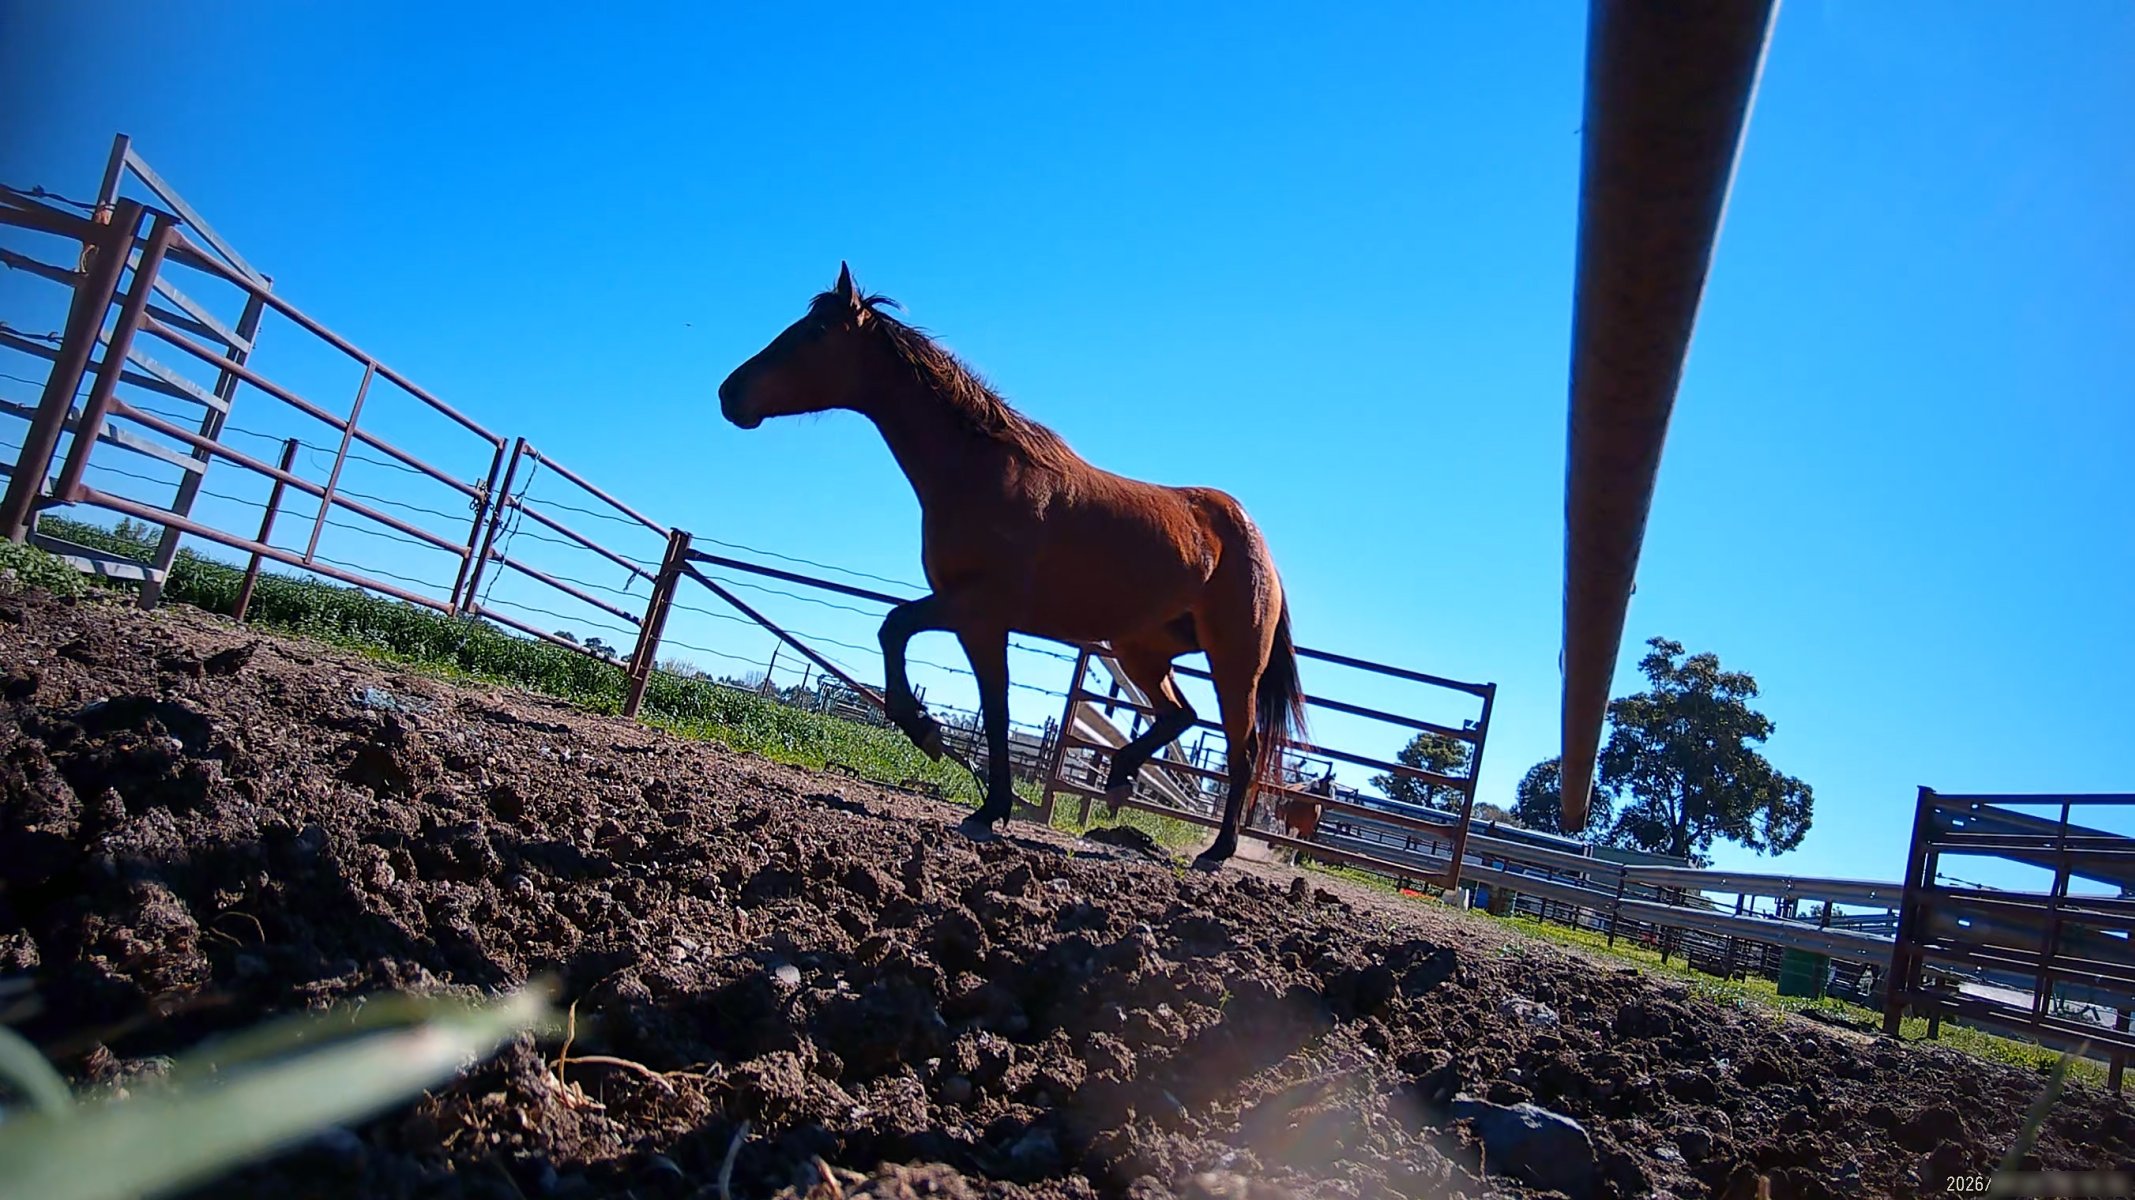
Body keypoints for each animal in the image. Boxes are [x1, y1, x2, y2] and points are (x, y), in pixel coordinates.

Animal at [717, 264, 1307, 871]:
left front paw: (945, 756)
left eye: (815, 332)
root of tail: (1258, 546)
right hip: (1141, 651)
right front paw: (978, 792)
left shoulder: (977, 610)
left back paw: (1216, 850)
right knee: (1180, 716)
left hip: (1233, 663)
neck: (981, 472)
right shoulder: (971, 617)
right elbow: (976, 696)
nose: (729, 393)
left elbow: (912, 642)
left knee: (1242, 749)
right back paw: (1119, 778)